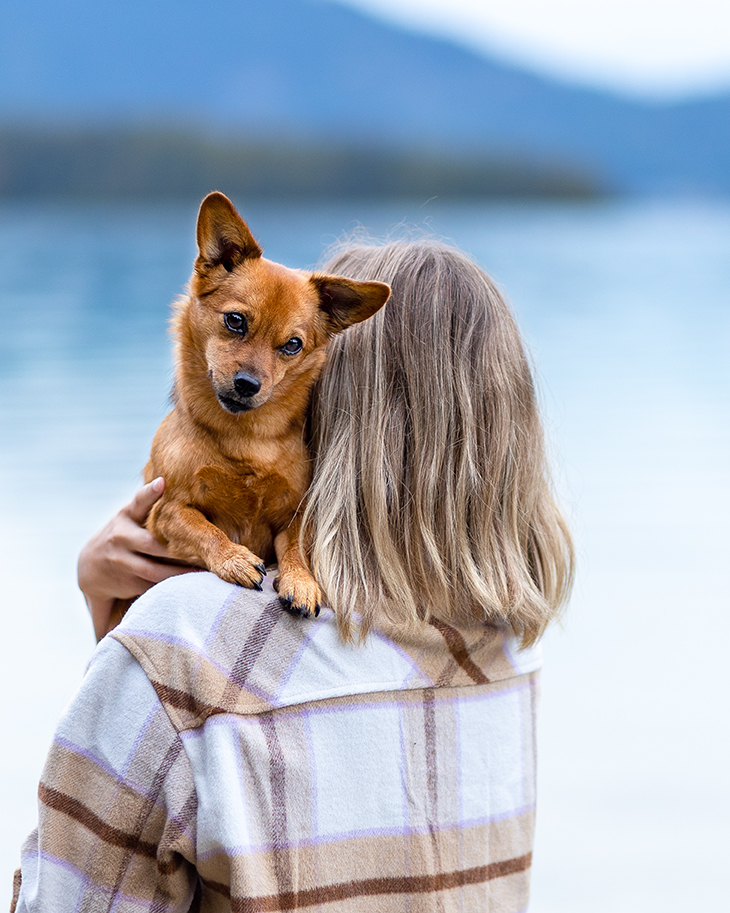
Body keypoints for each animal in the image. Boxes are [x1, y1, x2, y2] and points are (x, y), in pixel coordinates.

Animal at [136, 192, 386, 620]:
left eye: (293, 345)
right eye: (235, 320)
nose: (248, 384)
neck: (245, 438)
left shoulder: (296, 516)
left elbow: (297, 547)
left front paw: (301, 581)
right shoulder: (164, 511)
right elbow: (202, 528)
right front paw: (234, 558)